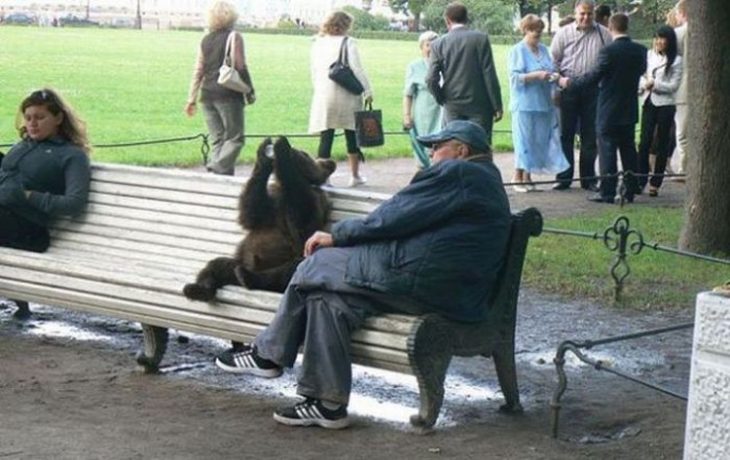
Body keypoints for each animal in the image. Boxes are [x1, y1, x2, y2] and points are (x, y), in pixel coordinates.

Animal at [185, 136, 338, 302]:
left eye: (305, 153)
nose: (295, 149)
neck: (283, 188)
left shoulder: (312, 200)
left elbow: (302, 224)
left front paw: (281, 149)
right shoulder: (270, 202)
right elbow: (251, 212)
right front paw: (265, 155)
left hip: (291, 259)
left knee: (288, 270)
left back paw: (248, 277)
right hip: (237, 262)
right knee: (216, 265)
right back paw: (198, 289)